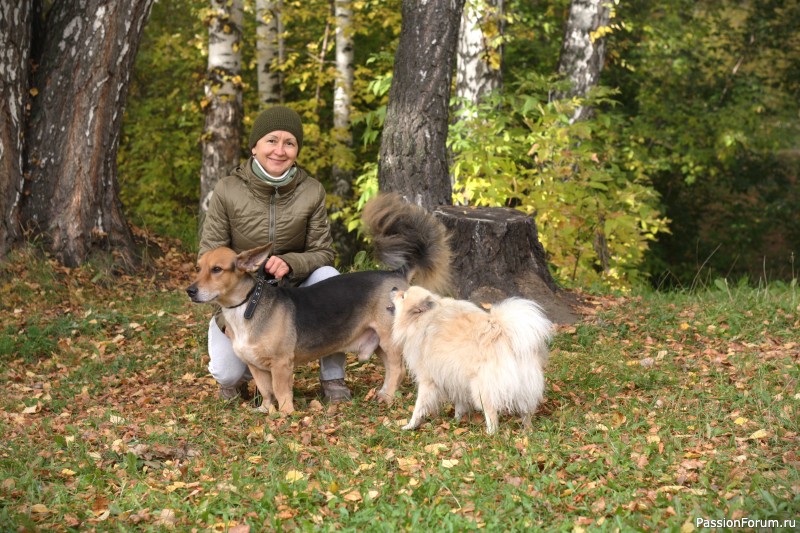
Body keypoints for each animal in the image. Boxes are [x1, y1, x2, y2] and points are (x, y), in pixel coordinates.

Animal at [184, 193, 454, 414]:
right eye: (198, 268)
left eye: (217, 270)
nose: (190, 291)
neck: (247, 305)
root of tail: (397, 273)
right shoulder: (257, 366)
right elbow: (267, 393)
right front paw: (267, 412)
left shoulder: (281, 364)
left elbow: (281, 392)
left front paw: (285, 415)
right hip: (379, 343)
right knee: (391, 369)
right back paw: (382, 394)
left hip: (390, 340)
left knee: (398, 369)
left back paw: (387, 398)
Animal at [390, 286, 552, 432]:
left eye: (403, 296)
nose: (393, 288)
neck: (423, 318)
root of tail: (504, 333)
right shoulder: (456, 378)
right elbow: (459, 404)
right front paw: (456, 422)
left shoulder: (427, 380)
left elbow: (419, 406)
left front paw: (410, 425)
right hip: (524, 386)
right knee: (526, 412)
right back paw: (527, 431)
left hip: (482, 389)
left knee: (491, 414)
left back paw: (490, 434)